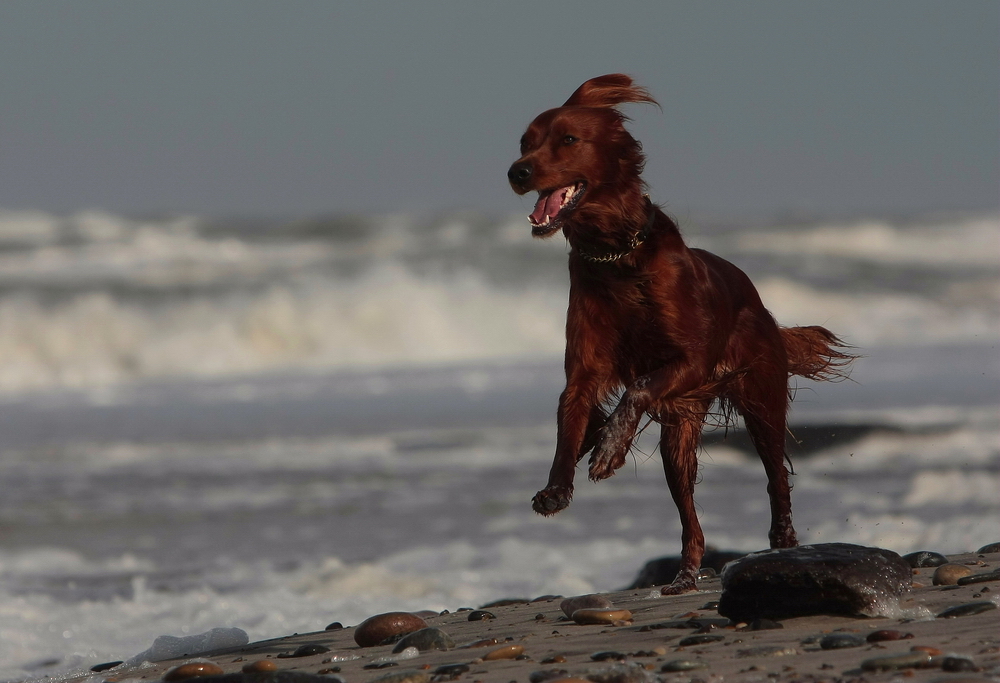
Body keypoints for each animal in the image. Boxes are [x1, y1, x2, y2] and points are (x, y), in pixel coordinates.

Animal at [508, 75, 852, 596]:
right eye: (524, 143)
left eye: (567, 139)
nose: (517, 172)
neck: (616, 257)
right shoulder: (583, 371)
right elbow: (571, 424)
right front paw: (558, 485)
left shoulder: (693, 361)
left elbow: (636, 389)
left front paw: (609, 449)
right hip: (679, 439)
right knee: (691, 517)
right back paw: (686, 573)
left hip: (761, 399)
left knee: (776, 475)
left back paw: (783, 539)